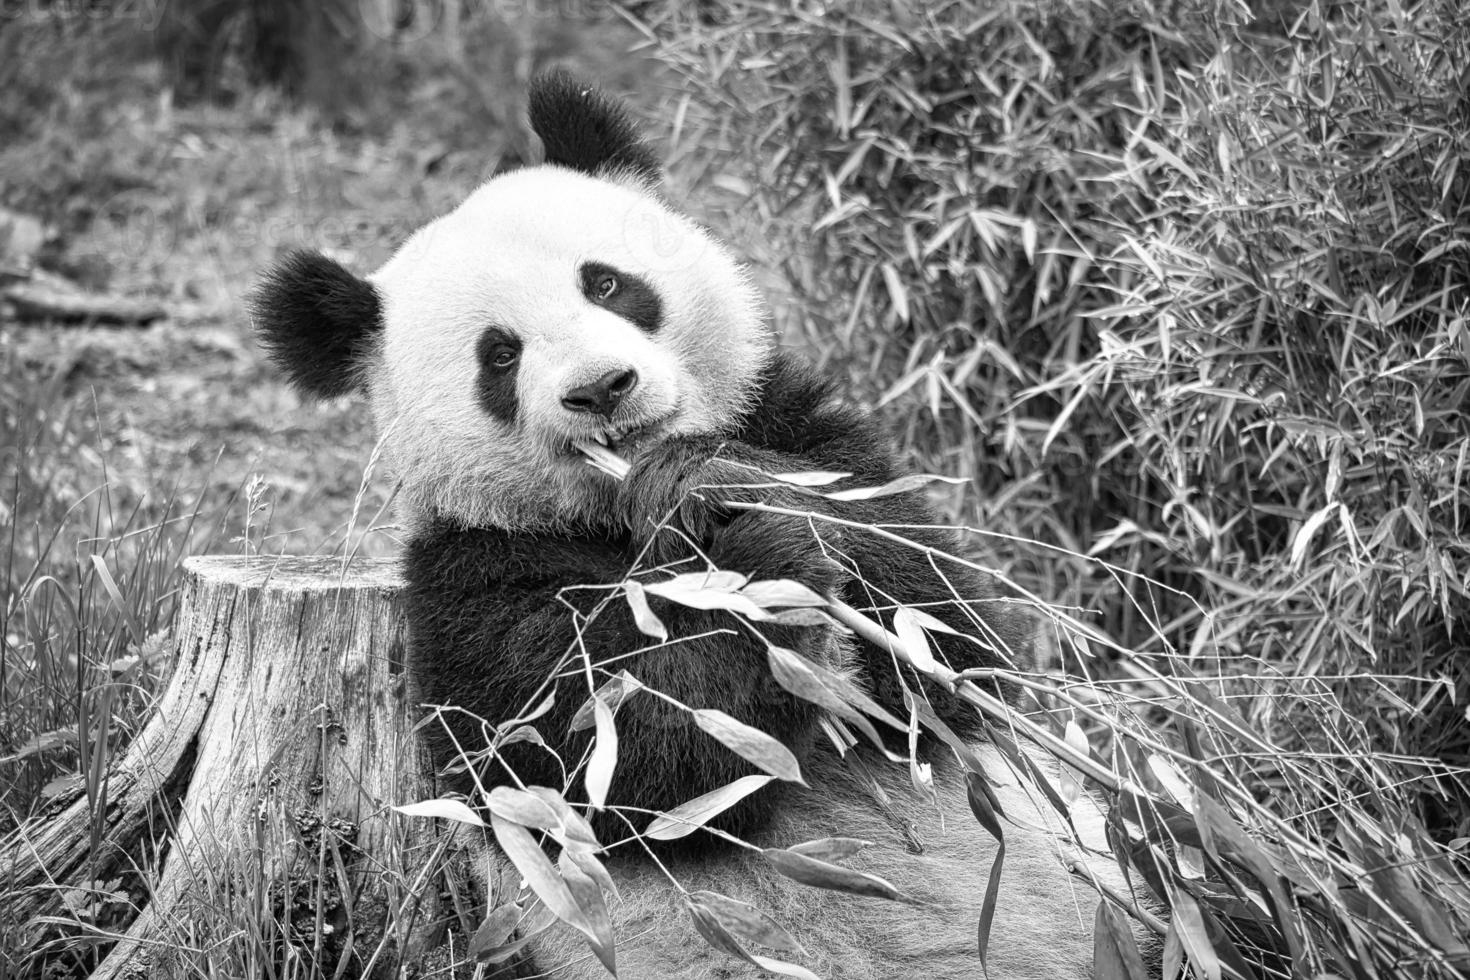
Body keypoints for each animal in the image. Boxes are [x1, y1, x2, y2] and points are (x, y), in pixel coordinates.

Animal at [258, 70, 1140, 980]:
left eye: (606, 284)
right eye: (498, 356)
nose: (601, 388)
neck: (617, 508)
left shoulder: (800, 429)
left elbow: (945, 641)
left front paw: (738, 499)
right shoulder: (472, 575)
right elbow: (613, 759)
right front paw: (746, 565)